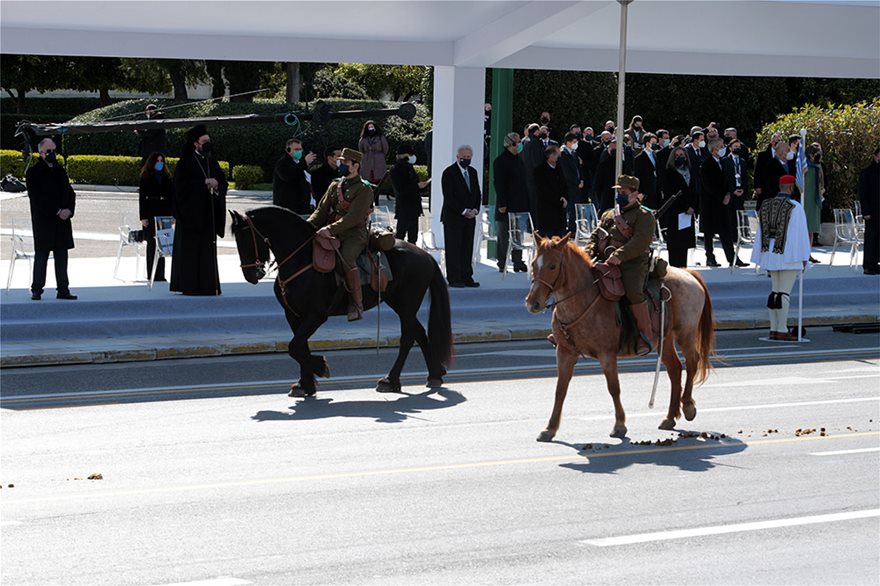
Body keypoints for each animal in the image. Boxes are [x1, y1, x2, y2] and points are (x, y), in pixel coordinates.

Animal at [524, 233, 712, 438]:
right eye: (533, 264)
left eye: (552, 266)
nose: (532, 303)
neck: (582, 299)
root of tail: (688, 273)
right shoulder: (565, 353)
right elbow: (560, 390)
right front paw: (550, 428)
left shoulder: (607, 354)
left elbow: (614, 388)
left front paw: (620, 424)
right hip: (665, 339)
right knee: (675, 369)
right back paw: (669, 417)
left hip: (685, 333)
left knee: (692, 362)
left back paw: (688, 406)